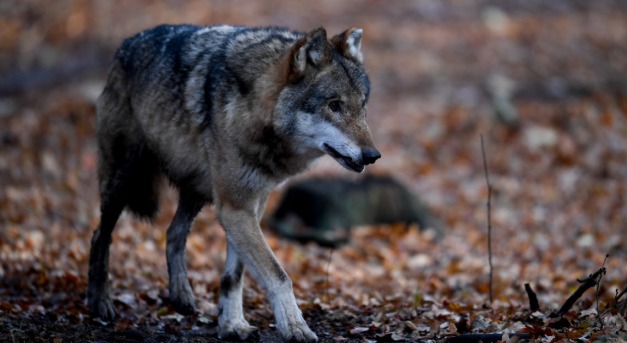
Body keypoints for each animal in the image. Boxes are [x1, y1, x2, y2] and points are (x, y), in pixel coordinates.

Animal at [87, 22, 380, 342]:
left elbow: (234, 275)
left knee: (173, 233)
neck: (254, 109)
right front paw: (294, 326)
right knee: (100, 235)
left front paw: (232, 325)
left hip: (197, 192)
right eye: (334, 105)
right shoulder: (235, 208)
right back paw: (100, 303)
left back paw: (181, 295)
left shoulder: (252, 206)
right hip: (123, 180)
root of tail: (127, 43)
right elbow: (279, 275)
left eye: (363, 106)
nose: (372, 155)